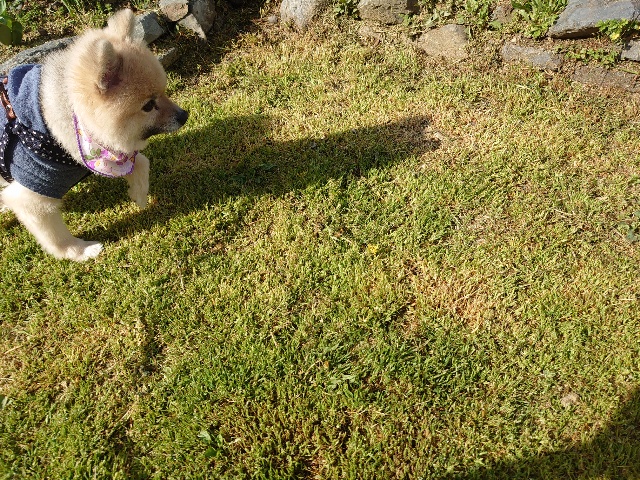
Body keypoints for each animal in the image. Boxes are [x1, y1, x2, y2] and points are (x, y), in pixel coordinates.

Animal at [0, 9, 188, 261]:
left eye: (164, 92)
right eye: (148, 106)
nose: (184, 115)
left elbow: (141, 162)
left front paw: (139, 194)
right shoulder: (33, 192)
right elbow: (56, 238)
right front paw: (80, 251)